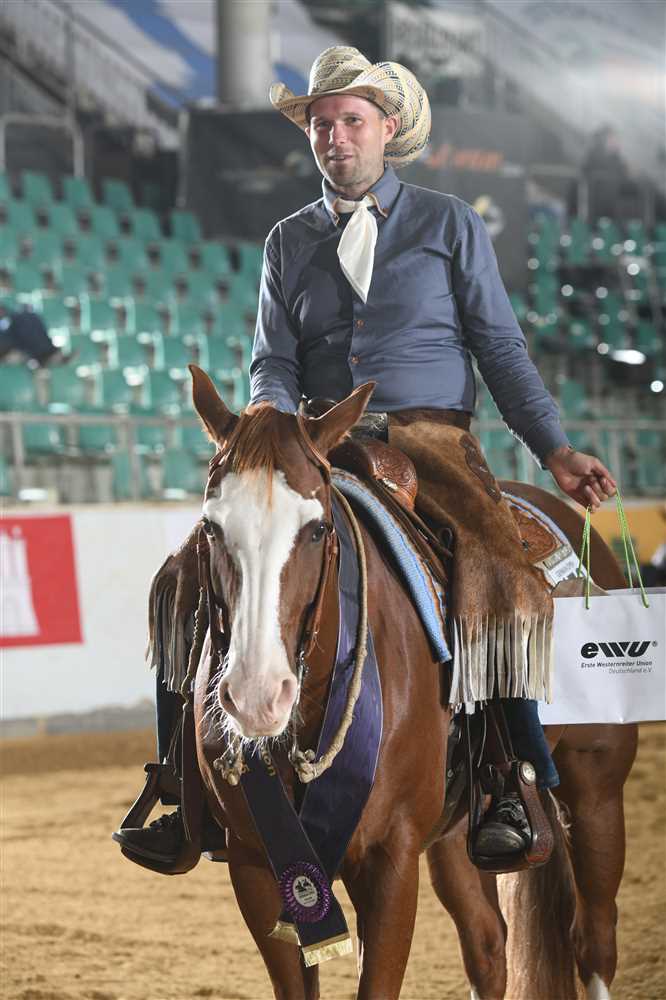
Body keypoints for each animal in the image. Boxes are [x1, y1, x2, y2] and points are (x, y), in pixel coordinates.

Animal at [181, 364, 637, 1000]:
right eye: (211, 526)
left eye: (317, 529)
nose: (255, 695)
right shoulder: (258, 867)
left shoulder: (390, 861)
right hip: (453, 834)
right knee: (488, 946)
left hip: (596, 788)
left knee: (593, 939)